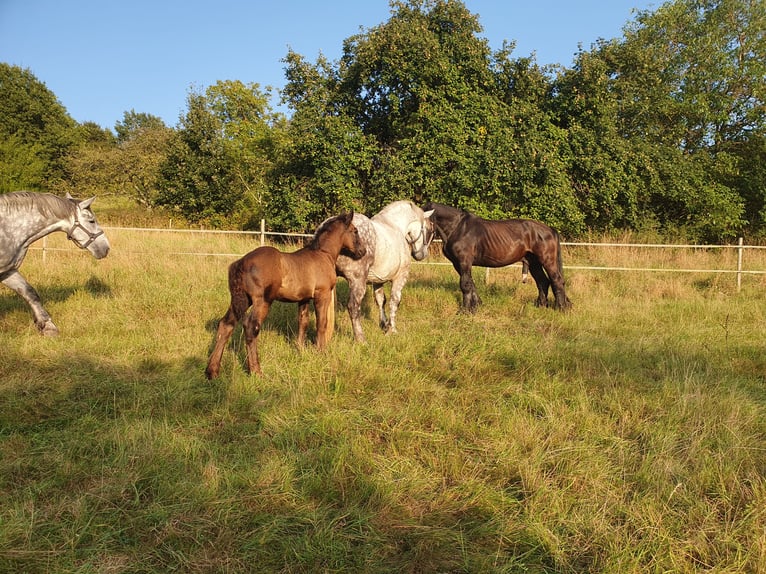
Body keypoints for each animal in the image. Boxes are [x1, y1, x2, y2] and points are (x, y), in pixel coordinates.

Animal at [0, 194, 111, 338]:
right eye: (91, 221)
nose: (106, 248)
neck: (7, 229)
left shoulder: (8, 271)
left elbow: (29, 293)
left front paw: (48, 327)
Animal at [206, 214, 364, 380]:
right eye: (355, 231)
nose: (363, 251)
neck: (323, 253)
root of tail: (241, 263)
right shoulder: (323, 294)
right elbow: (322, 323)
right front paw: (321, 352)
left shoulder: (303, 299)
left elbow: (303, 322)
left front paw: (300, 350)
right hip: (262, 301)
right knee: (251, 327)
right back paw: (256, 371)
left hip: (241, 300)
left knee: (226, 325)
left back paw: (212, 371)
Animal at [334, 201, 436, 342]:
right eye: (430, 230)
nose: (422, 255)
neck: (395, 226)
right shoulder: (400, 277)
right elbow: (394, 301)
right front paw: (392, 329)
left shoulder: (378, 280)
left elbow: (381, 300)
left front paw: (384, 324)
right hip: (357, 282)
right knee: (353, 307)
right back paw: (360, 338)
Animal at [424, 201, 572, 312]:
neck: (458, 228)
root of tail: (550, 229)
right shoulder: (458, 264)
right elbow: (470, 283)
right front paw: (477, 305)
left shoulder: (464, 261)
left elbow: (465, 284)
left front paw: (465, 310)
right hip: (534, 262)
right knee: (542, 282)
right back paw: (540, 306)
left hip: (547, 260)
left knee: (557, 280)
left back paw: (561, 308)